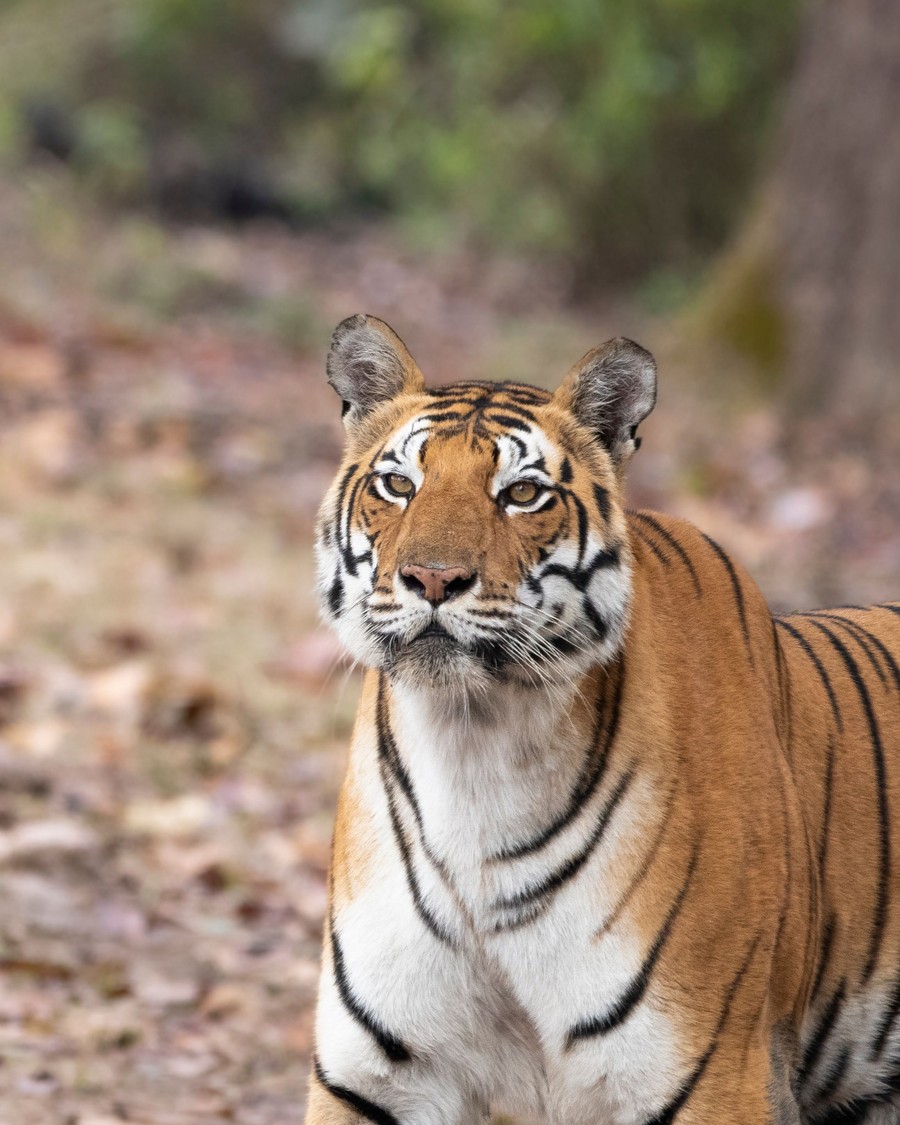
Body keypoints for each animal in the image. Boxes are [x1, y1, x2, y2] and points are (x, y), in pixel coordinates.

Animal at [307, 313, 900, 1124]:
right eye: (398, 484)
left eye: (522, 493)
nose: (431, 578)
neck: (474, 747)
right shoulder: (373, 1077)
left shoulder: (712, 1073)